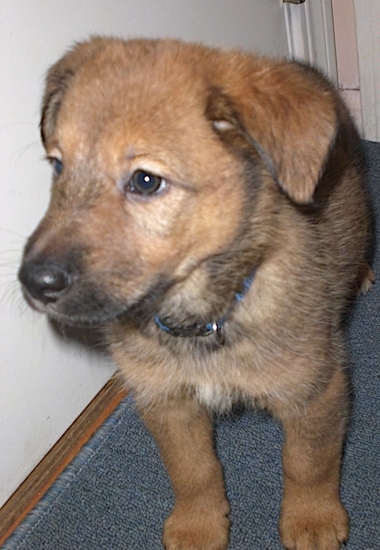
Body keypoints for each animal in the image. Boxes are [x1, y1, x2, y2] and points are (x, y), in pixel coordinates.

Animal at [19, 36, 372, 548]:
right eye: (58, 166)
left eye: (146, 180)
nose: (34, 282)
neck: (203, 317)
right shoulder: (165, 399)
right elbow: (192, 471)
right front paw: (198, 524)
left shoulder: (317, 391)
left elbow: (308, 463)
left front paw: (311, 519)